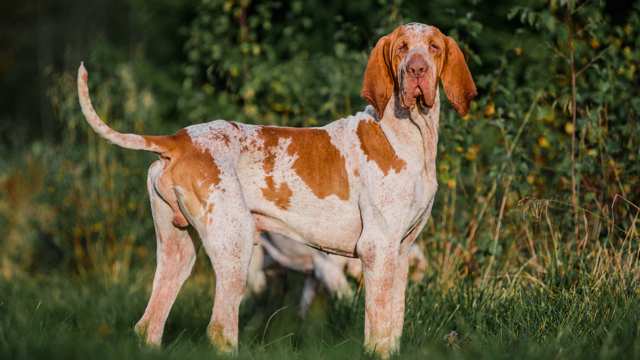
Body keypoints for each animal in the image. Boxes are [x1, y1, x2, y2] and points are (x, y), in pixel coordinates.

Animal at [76, 22, 476, 358]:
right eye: (403, 48)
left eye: (434, 47)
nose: (418, 70)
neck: (408, 134)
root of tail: (178, 139)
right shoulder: (376, 250)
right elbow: (377, 329)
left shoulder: (401, 251)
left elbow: (394, 323)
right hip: (235, 248)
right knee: (220, 329)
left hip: (179, 251)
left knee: (149, 325)